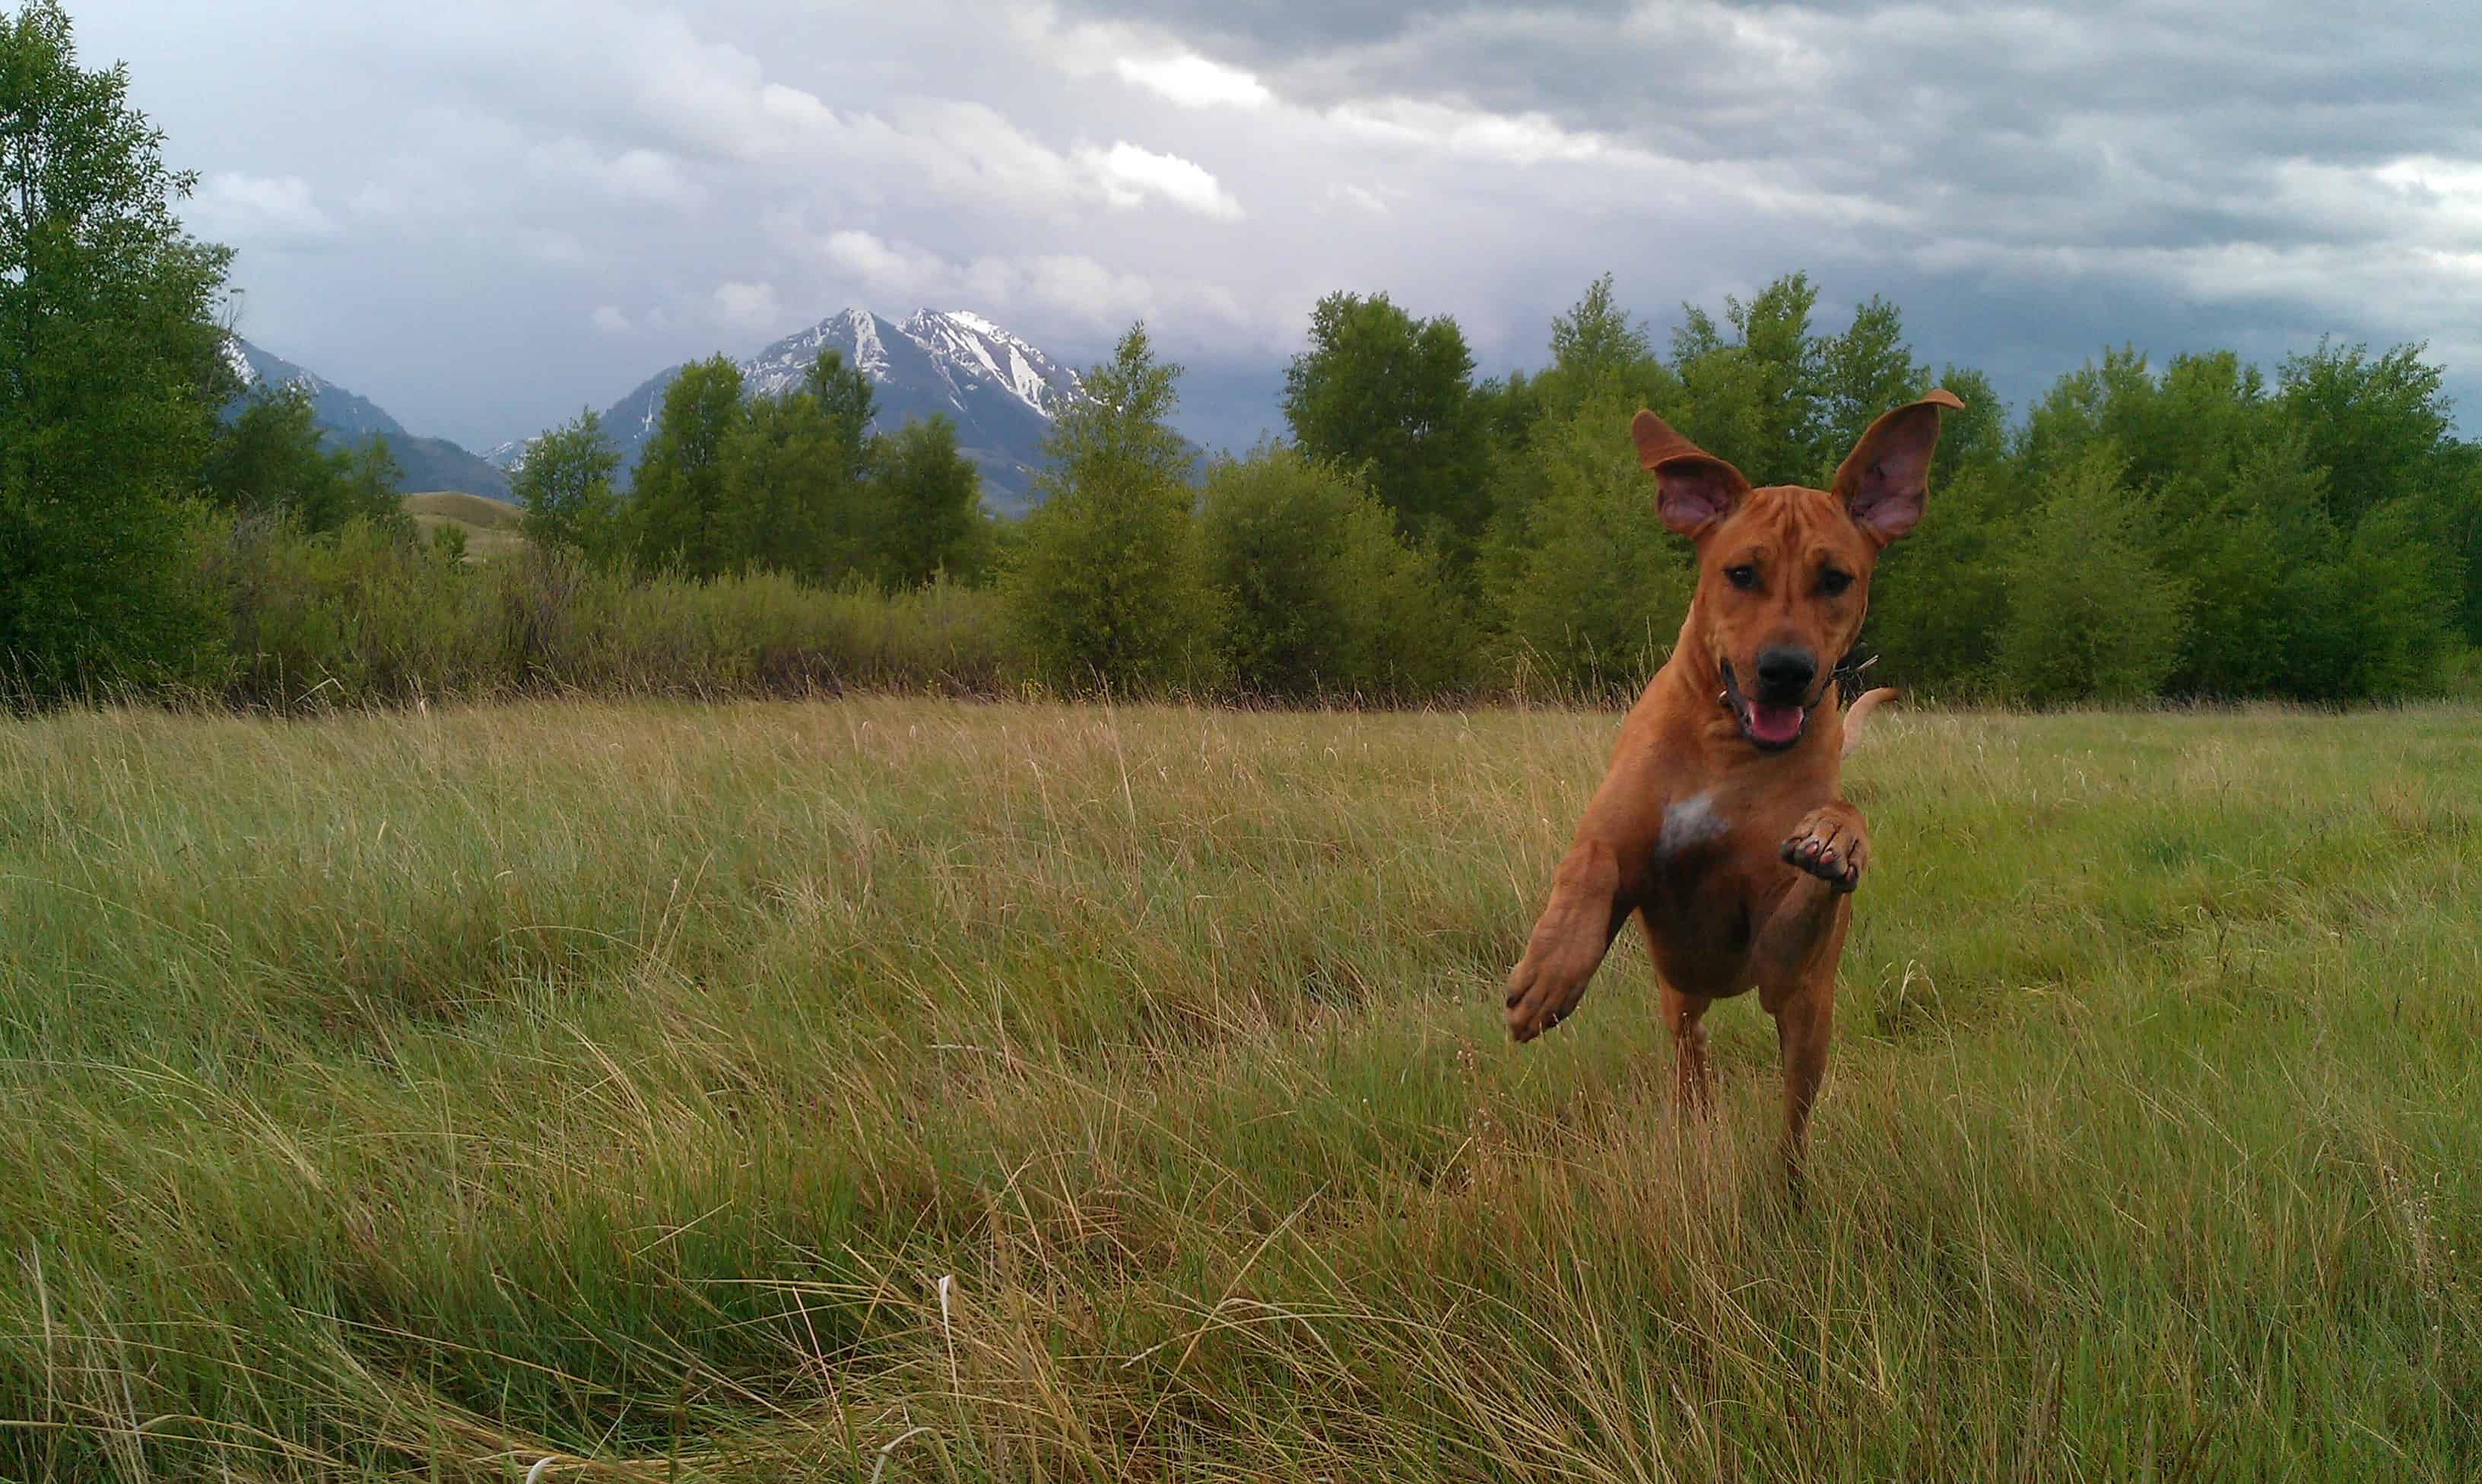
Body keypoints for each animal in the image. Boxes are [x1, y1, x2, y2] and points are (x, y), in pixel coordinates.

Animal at [1499, 392, 1966, 1186]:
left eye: (1835, 579)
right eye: (1741, 573)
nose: (1785, 670)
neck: (1728, 747)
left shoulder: (1782, 963)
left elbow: (1836, 827)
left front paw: (1835, 840)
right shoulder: (1621, 847)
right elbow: (1590, 865)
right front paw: (1549, 970)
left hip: (1808, 1024)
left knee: (1791, 1118)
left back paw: (1787, 1187)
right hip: (1680, 996)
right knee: (1691, 1066)